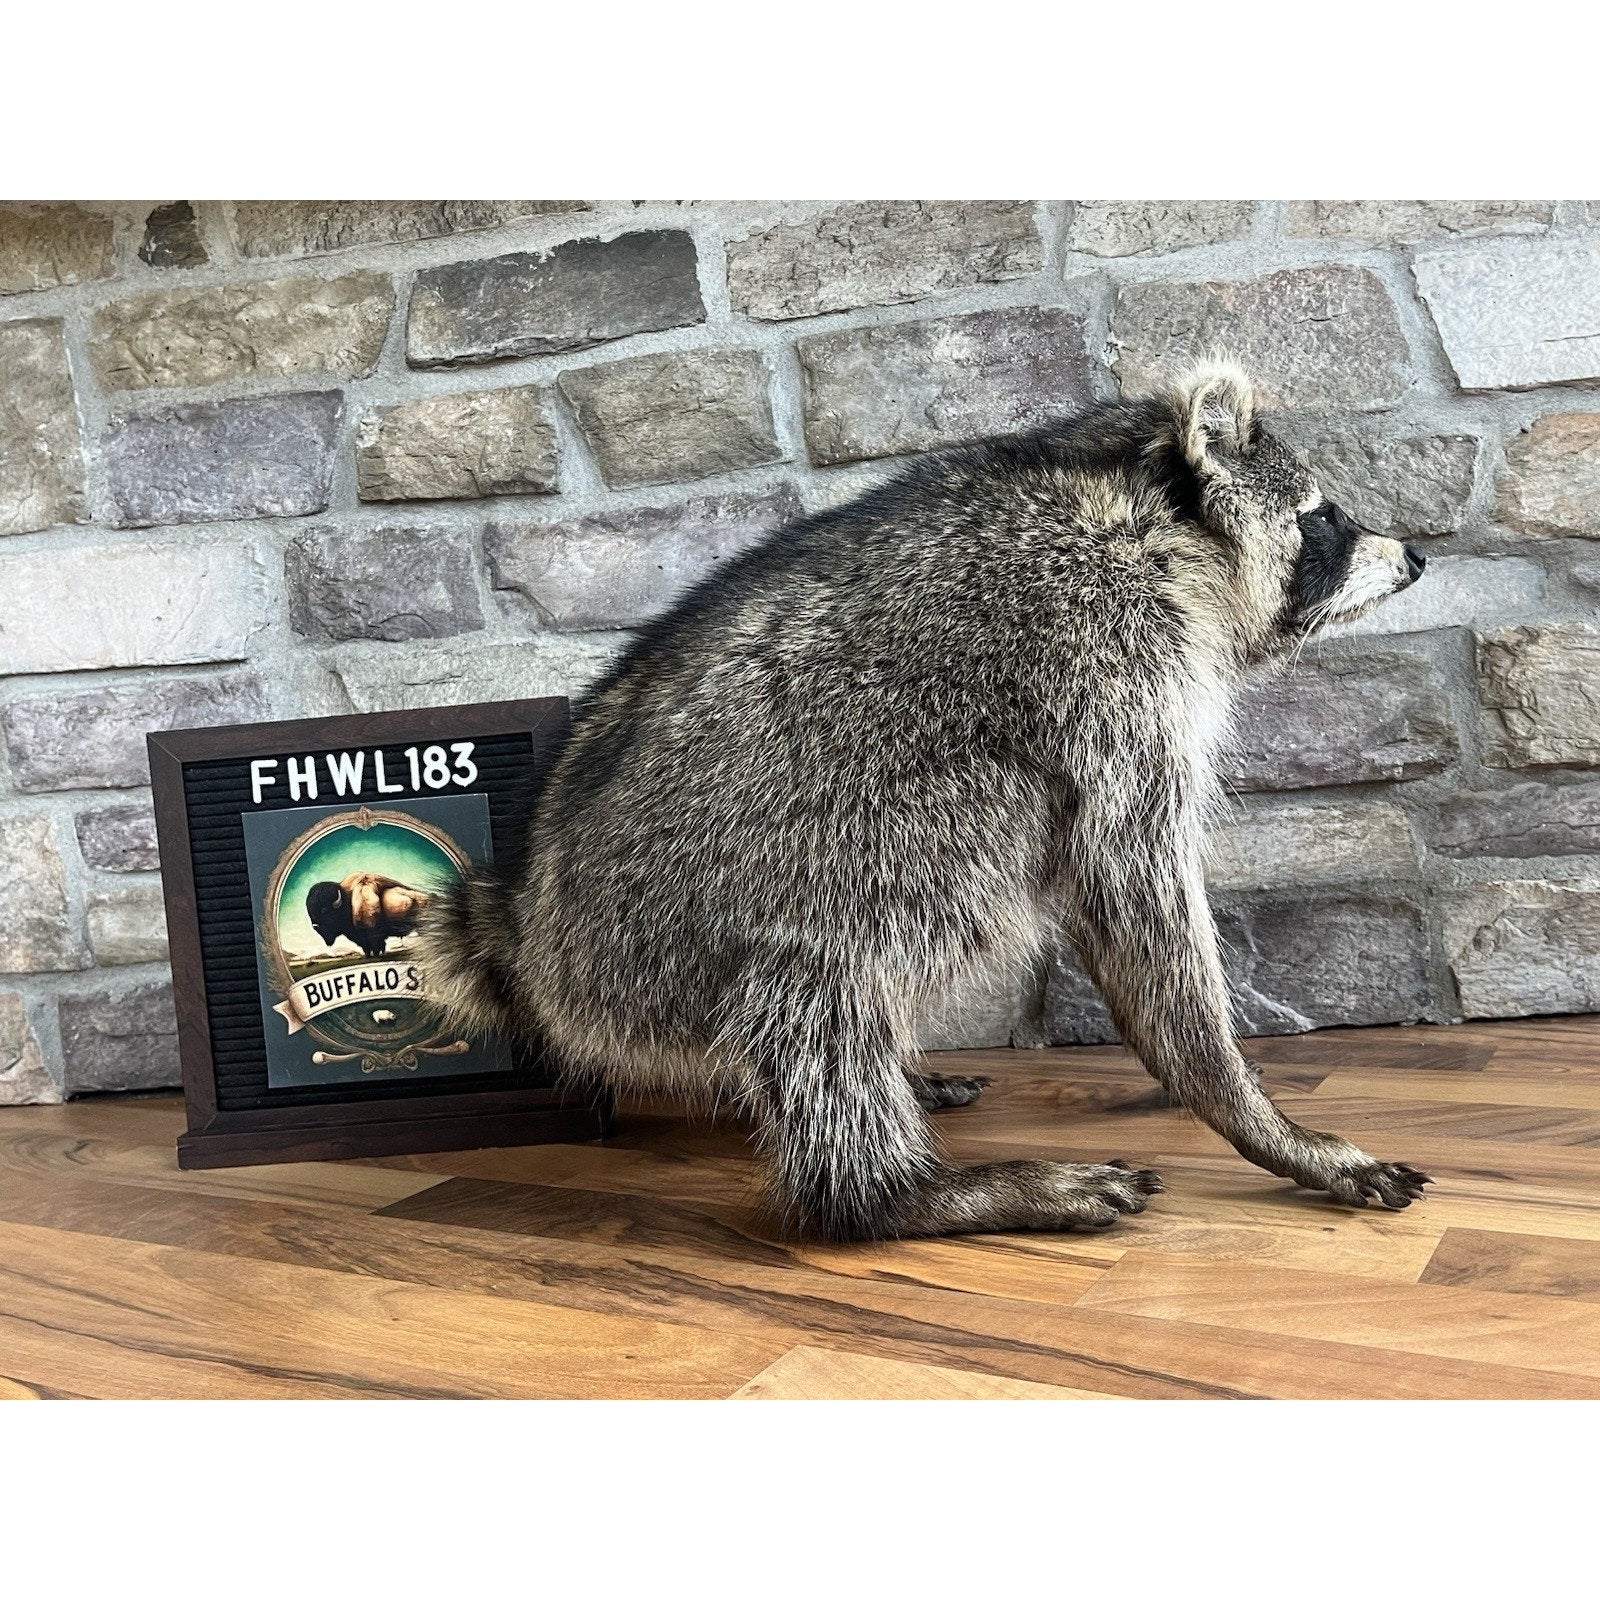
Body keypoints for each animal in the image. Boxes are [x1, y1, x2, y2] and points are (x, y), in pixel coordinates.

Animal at [421, 363, 1431, 1240]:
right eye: (1324, 518)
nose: (1417, 554)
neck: (1143, 518)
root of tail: (523, 921)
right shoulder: (1105, 666)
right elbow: (1133, 886)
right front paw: (1247, 1107)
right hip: (723, 895)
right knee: (872, 927)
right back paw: (892, 1192)